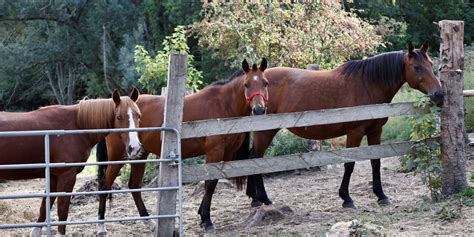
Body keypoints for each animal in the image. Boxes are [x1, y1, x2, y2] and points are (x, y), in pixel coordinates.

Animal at [0, 88, 143, 237]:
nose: (134, 148)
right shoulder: (67, 175)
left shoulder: (53, 176)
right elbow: (62, 210)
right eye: (119, 117)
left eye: (138, 116)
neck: (77, 125)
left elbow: (45, 206)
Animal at [95, 58, 270, 232]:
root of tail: (114, 108)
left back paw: (150, 223)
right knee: (105, 185)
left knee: (134, 186)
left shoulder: (226, 154)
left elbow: (213, 182)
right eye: (246, 84)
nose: (259, 110)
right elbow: (210, 183)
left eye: (265, 83)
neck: (223, 106)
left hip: (139, 154)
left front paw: (202, 214)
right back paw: (101, 226)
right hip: (117, 157)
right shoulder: (214, 152)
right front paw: (206, 220)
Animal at [244, 41, 444, 208]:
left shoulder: (375, 131)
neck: (368, 83)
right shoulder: (355, 132)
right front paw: (346, 198)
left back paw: (255, 198)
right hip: (265, 132)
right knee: (256, 159)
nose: (439, 94)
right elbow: (349, 164)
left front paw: (381, 195)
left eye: (431, 65)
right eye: (416, 67)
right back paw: (263, 199)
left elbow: (375, 162)